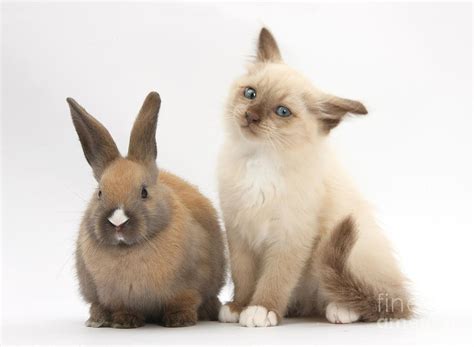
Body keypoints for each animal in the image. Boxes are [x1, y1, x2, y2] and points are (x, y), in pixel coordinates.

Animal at [67, 92, 227, 328]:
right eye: (100, 193)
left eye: (144, 192)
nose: (117, 221)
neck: (129, 250)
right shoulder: (118, 297)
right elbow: (124, 309)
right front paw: (125, 322)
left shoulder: (188, 289)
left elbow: (183, 303)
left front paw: (179, 321)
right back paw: (97, 319)